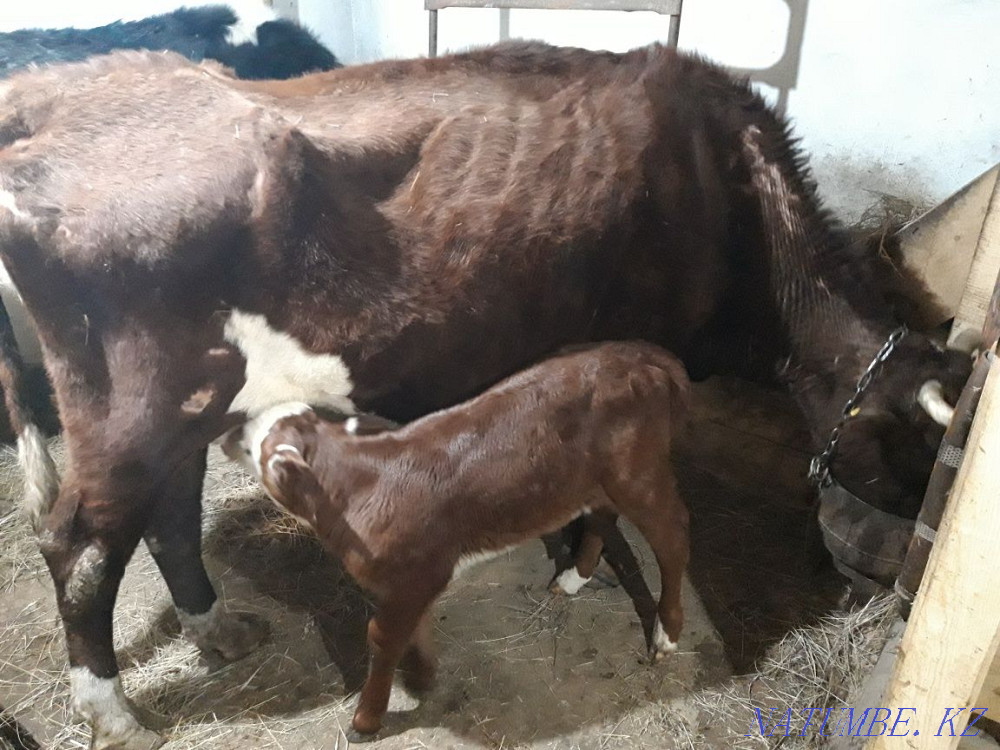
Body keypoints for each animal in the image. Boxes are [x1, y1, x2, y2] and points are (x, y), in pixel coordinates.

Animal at [0, 41, 970, 749]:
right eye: (921, 458)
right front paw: (580, 570)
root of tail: (61, 100)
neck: (731, 199)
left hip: (192, 410)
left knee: (168, 516)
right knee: (79, 546)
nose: (890, 582)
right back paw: (113, 711)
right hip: (132, 414)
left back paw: (217, 627)